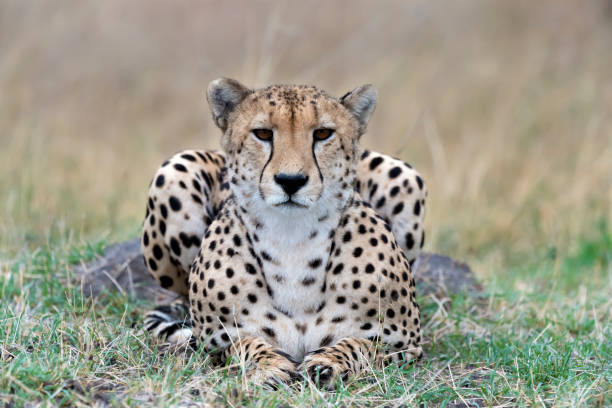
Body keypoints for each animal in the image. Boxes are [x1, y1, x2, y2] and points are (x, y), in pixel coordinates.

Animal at [140, 78, 426, 388]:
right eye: (263, 133)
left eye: (323, 133)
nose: (291, 181)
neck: (293, 239)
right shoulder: (211, 345)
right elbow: (244, 344)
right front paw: (268, 365)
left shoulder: (406, 345)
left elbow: (359, 344)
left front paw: (329, 362)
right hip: (173, 171)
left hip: (405, 177)